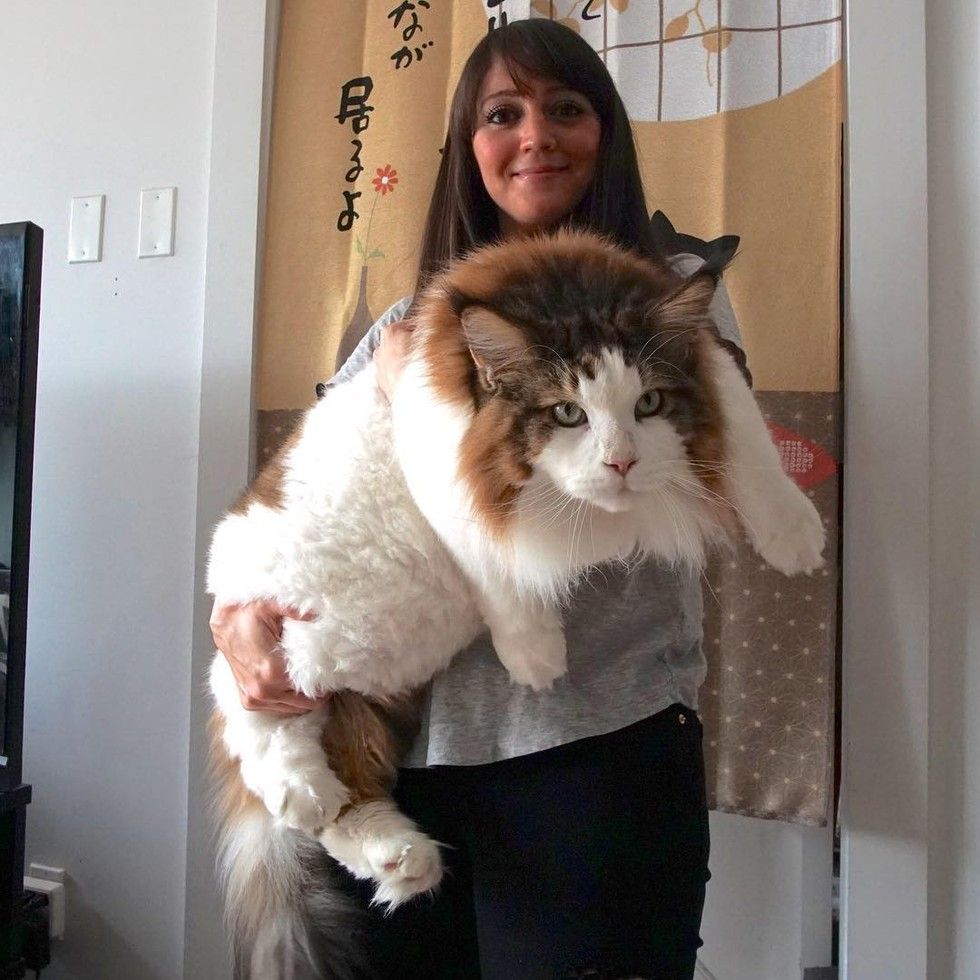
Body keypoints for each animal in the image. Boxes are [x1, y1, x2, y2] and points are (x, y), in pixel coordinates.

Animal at [209, 228, 828, 972]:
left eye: (648, 405)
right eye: (567, 413)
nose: (622, 462)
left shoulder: (715, 368)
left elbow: (752, 445)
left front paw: (793, 533)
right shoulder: (444, 461)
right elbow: (498, 567)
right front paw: (536, 656)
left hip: (367, 679)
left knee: (344, 782)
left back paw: (398, 857)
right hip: (270, 639)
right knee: (264, 726)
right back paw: (301, 791)